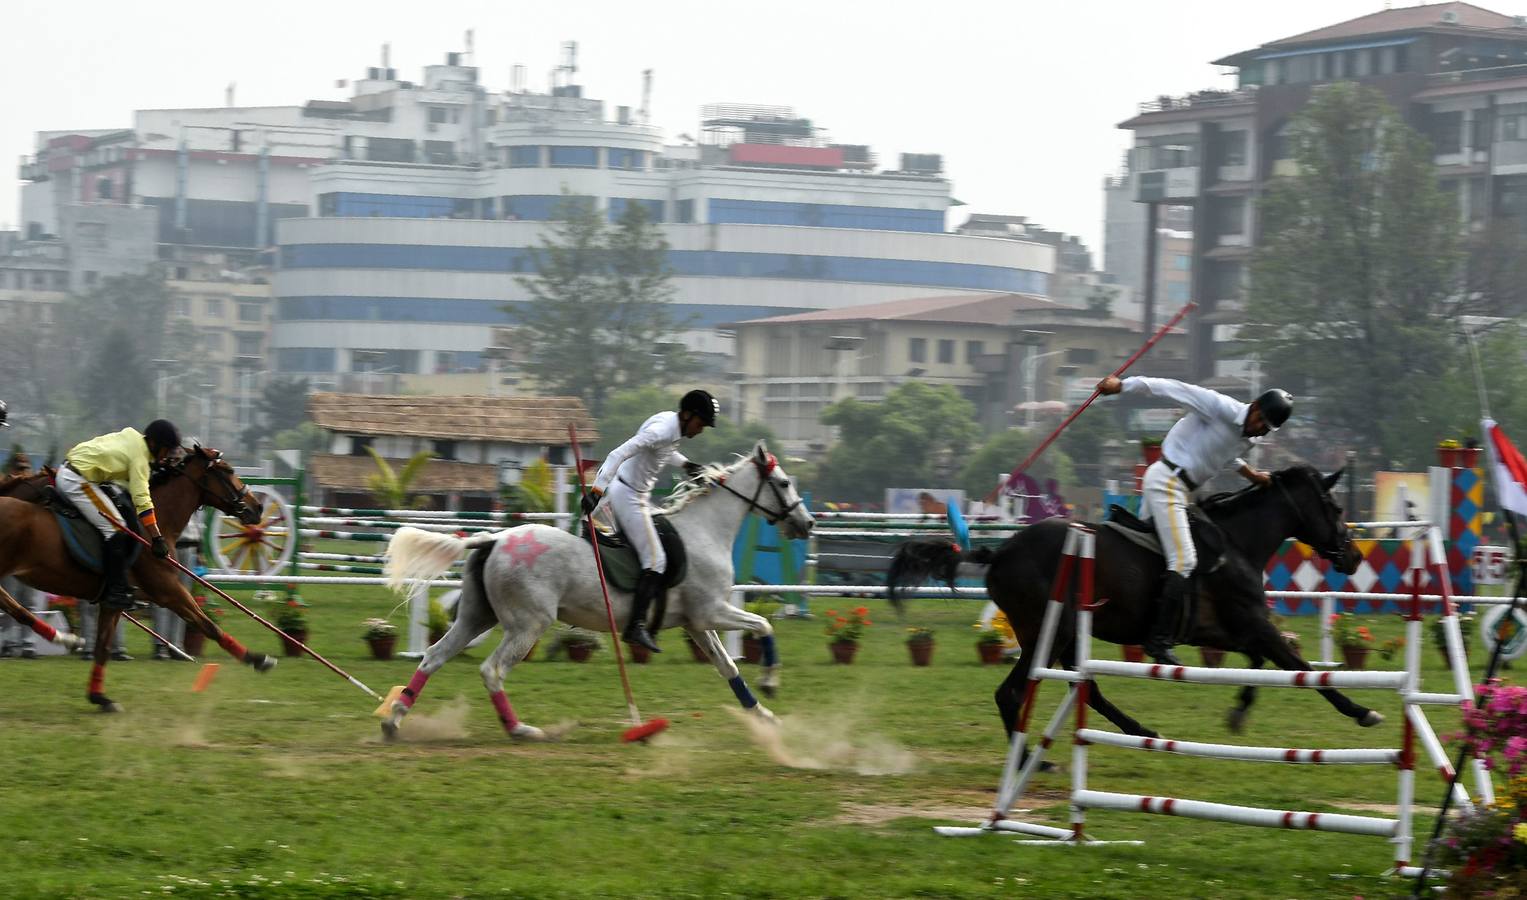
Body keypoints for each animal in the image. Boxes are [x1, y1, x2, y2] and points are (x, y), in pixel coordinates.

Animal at [0, 446, 270, 708]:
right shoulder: (169, 591)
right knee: (13, 606)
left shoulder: (114, 601)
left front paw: (100, 697)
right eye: (229, 470)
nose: (257, 507)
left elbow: (103, 647)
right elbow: (208, 625)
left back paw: (63, 638)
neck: (152, 527)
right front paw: (256, 658)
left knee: (14, 608)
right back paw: (63, 638)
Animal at [377, 440, 818, 739]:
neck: (704, 531)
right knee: (492, 670)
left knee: (434, 657)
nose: (808, 524)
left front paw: (763, 715)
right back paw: (520, 729)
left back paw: (394, 718)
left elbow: (728, 667)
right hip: (528, 624)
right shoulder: (711, 611)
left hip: (476, 616)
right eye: (783, 482)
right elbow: (764, 626)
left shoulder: (696, 622)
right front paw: (771, 683)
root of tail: (495, 539)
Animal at [891, 464, 1368, 736]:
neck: (1236, 541)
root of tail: (1002, 552)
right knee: (1013, 694)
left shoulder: (1226, 631)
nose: (1354, 555)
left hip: (1066, 637)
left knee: (1087, 689)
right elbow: (1299, 666)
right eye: (1334, 507)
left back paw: (1140, 731)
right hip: (1051, 633)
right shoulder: (1254, 624)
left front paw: (1239, 713)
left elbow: (1261, 663)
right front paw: (1361, 710)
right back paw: (1034, 761)